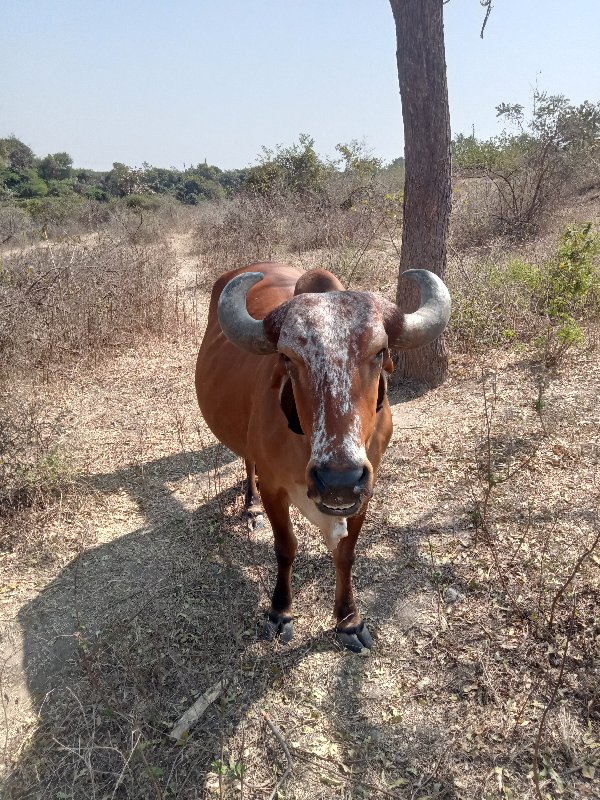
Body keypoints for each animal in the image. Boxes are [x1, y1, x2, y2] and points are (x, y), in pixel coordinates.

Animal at [197, 262, 450, 648]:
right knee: (247, 459)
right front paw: (280, 611)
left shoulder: (365, 489)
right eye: (287, 358)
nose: (338, 480)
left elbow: (345, 553)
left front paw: (349, 620)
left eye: (379, 352)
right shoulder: (275, 487)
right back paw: (250, 506)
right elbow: (285, 546)